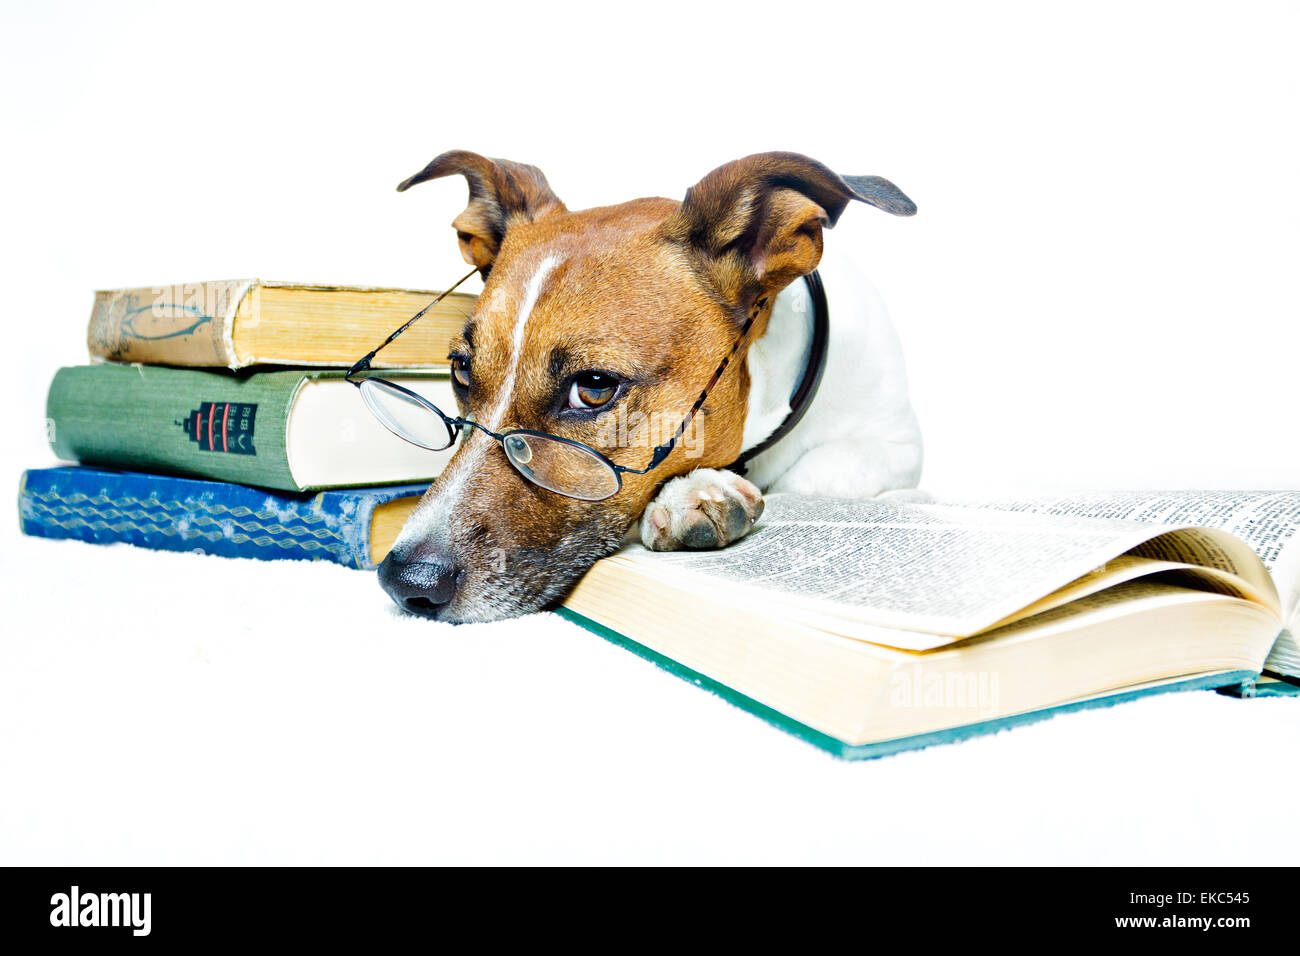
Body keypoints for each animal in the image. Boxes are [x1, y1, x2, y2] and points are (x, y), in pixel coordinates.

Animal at [377, 148, 925, 621]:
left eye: (594, 386)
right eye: (461, 371)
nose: (405, 581)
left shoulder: (898, 448)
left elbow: (814, 475)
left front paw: (699, 490)